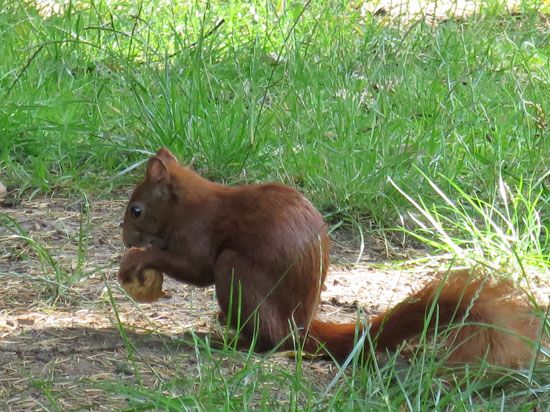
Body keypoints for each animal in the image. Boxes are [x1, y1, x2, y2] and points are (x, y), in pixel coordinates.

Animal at [119, 148, 544, 366]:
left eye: (136, 210)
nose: (124, 239)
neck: (187, 203)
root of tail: (299, 326)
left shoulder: (199, 233)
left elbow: (195, 268)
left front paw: (140, 258)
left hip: (236, 272)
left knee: (267, 340)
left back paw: (226, 340)